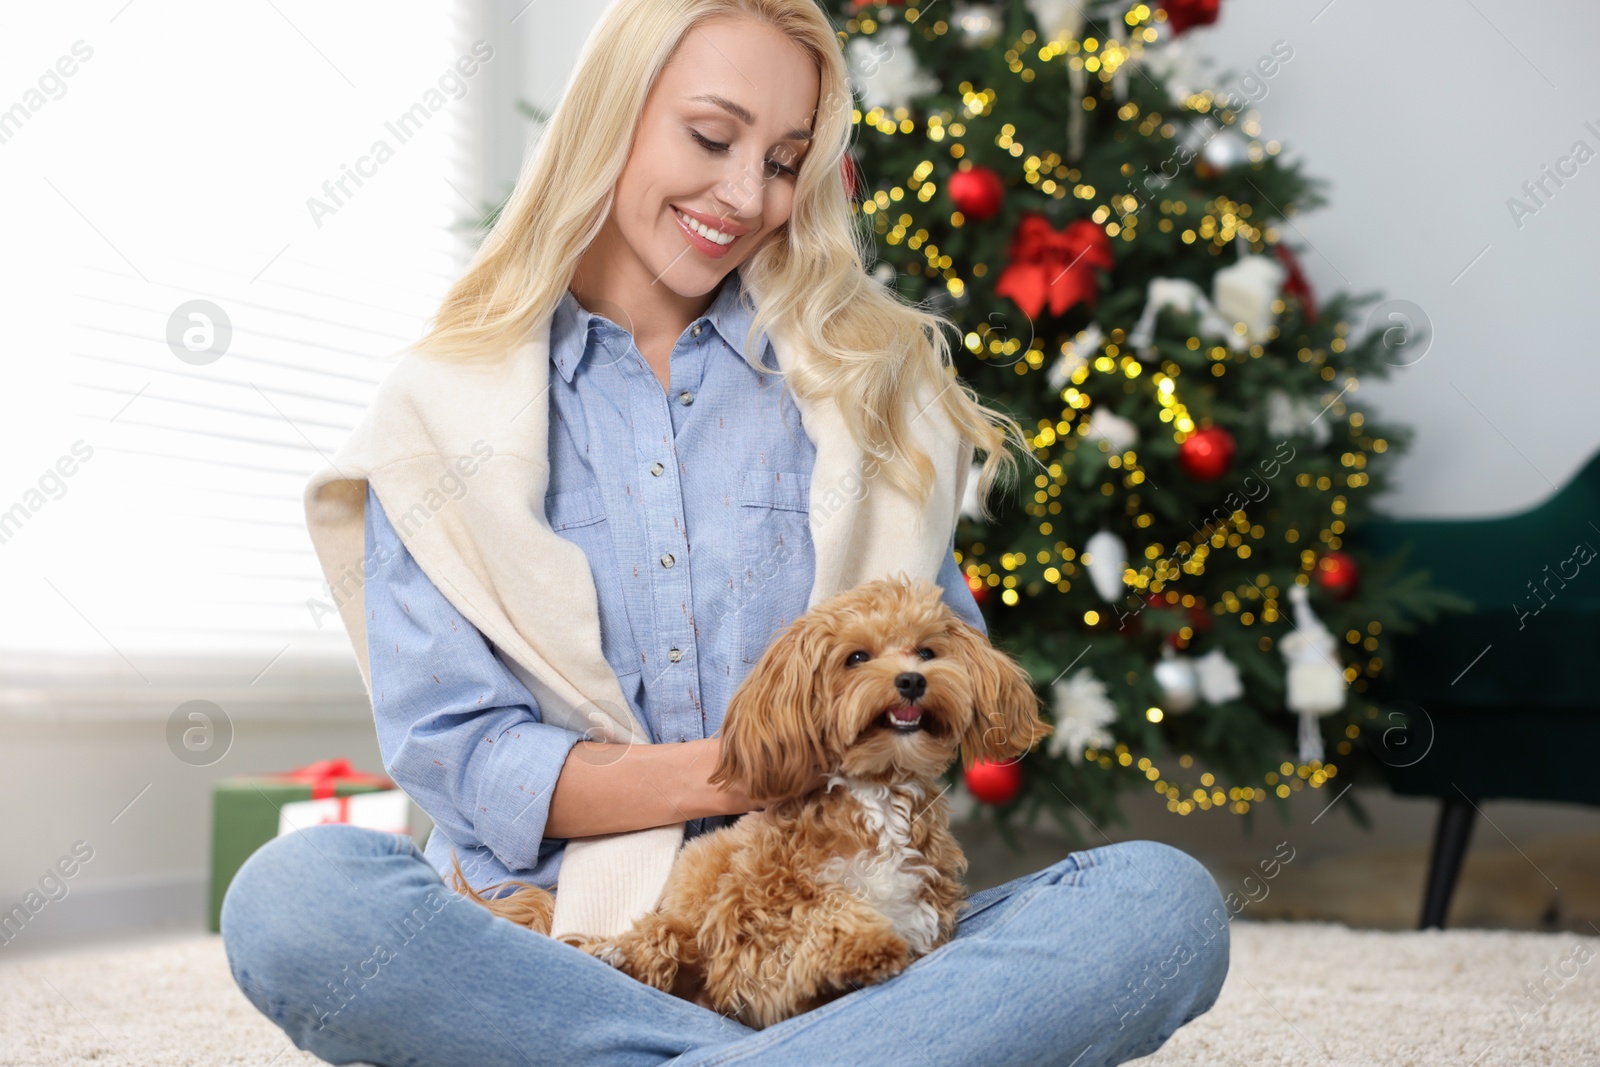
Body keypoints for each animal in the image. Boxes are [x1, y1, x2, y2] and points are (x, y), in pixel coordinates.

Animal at [451, 575, 1049, 1036]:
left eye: (927, 652)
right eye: (856, 657)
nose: (911, 680)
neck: (877, 794)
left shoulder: (923, 918)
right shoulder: (747, 936)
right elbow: (814, 925)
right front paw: (863, 945)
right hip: (685, 901)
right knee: (655, 942)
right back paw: (614, 955)